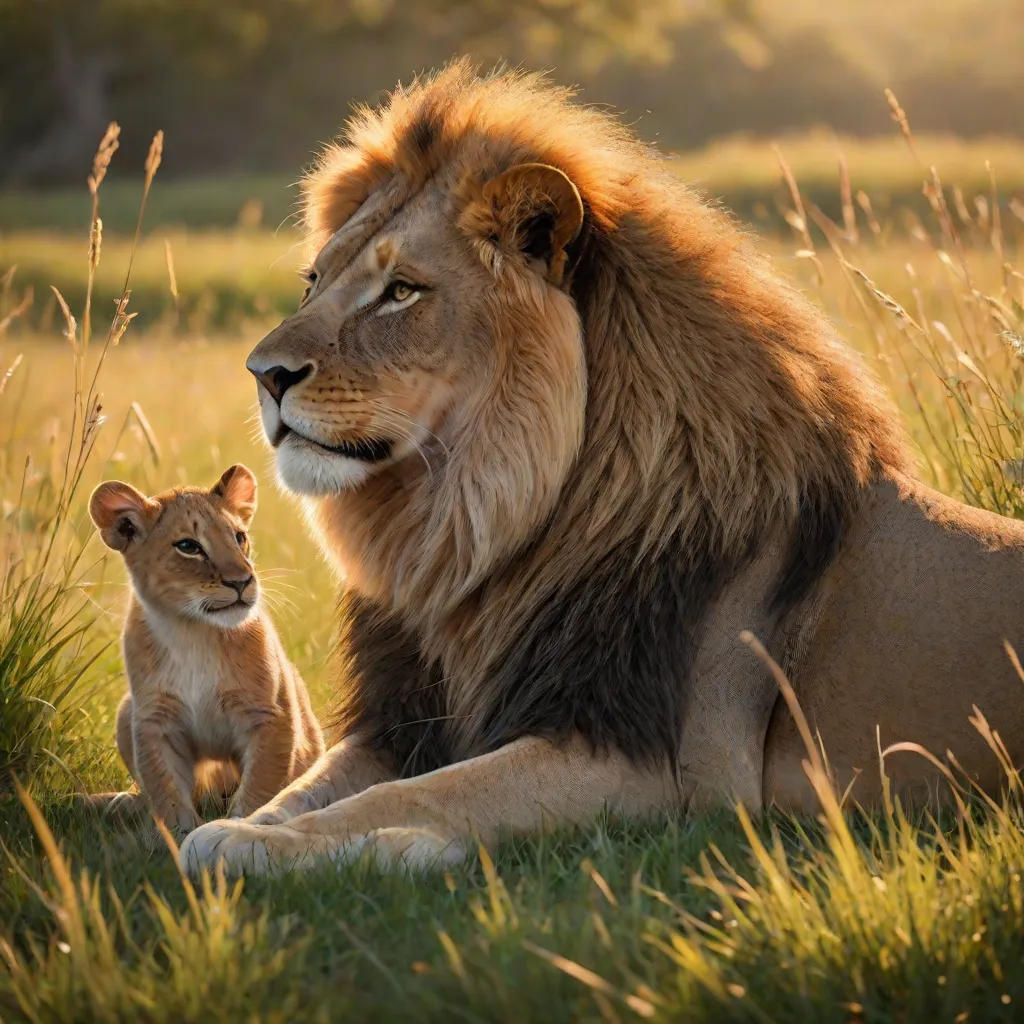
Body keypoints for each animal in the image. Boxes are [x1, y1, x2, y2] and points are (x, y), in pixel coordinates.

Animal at [180, 61, 1024, 875]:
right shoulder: (407, 720)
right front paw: (248, 824)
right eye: (315, 281)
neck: (464, 532)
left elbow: (426, 794)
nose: (264, 374)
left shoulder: (667, 771)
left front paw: (274, 846)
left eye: (402, 291)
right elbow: (310, 787)